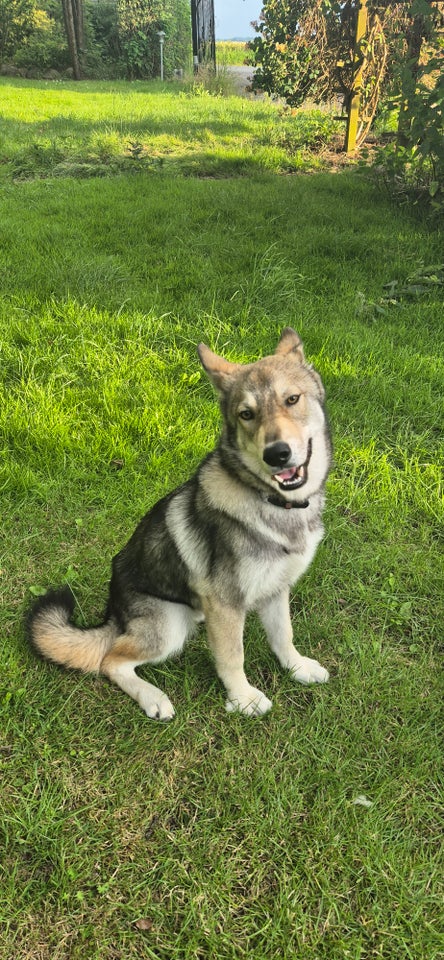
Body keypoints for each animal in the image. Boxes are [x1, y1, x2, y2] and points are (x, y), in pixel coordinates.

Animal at [27, 330, 332, 720]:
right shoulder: (227, 602)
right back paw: (153, 698)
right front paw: (243, 698)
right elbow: (232, 656)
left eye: (292, 399)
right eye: (246, 414)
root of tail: (114, 613)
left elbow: (284, 635)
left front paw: (298, 667)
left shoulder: (276, 589)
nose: (277, 454)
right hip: (167, 626)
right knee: (111, 660)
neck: (271, 500)